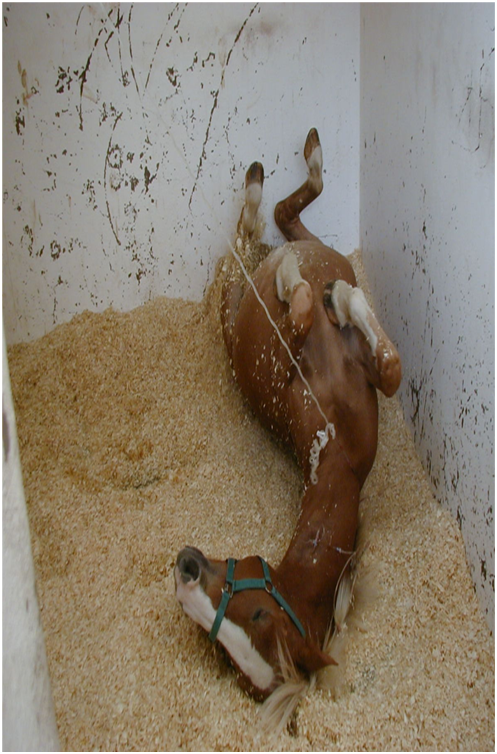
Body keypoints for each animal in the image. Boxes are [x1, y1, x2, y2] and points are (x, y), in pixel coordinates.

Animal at [175, 128, 401, 708]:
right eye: (220, 649)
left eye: (258, 613)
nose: (186, 568)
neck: (338, 458)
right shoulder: (284, 362)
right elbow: (300, 310)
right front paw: (321, 292)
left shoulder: (362, 372)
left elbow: (390, 369)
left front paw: (338, 298)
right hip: (232, 292)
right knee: (261, 225)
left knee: (280, 219)